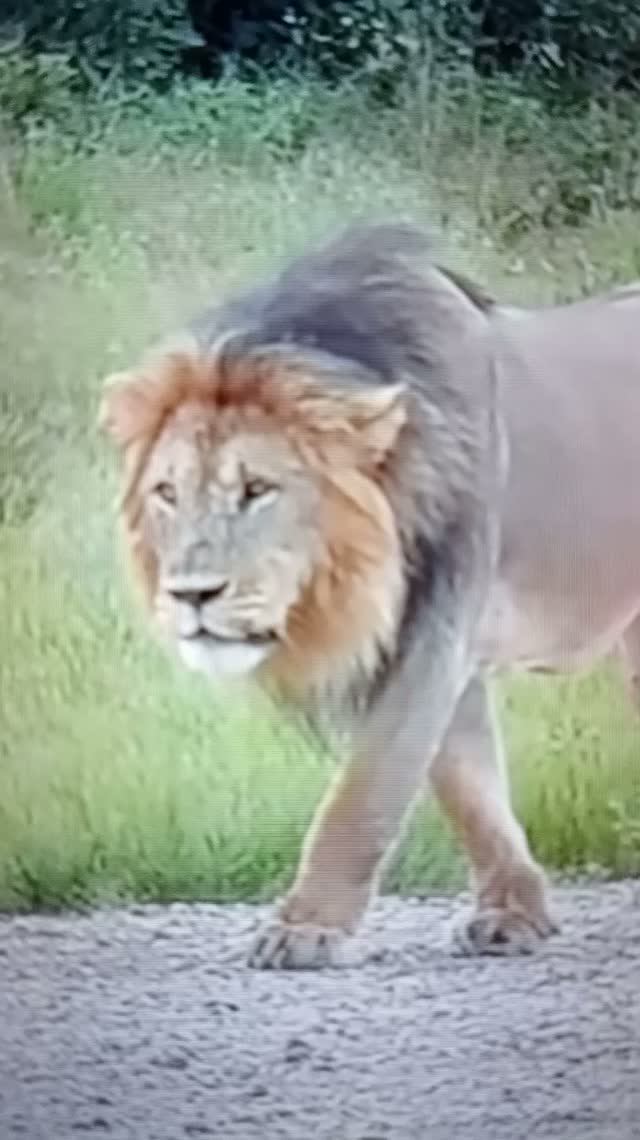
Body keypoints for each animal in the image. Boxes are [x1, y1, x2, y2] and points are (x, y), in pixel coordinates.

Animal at [99, 222, 640, 970]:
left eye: (257, 489)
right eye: (167, 492)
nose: (190, 594)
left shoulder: (436, 633)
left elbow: (364, 792)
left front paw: (305, 928)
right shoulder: (440, 650)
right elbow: (467, 786)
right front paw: (513, 914)